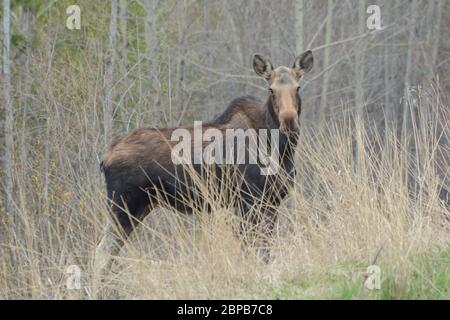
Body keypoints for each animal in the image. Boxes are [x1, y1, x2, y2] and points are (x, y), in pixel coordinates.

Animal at [95, 50, 312, 272]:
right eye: (271, 89)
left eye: (298, 87)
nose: (289, 120)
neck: (281, 148)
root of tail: (105, 158)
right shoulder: (248, 200)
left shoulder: (271, 202)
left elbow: (265, 252)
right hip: (123, 206)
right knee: (101, 252)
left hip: (140, 208)